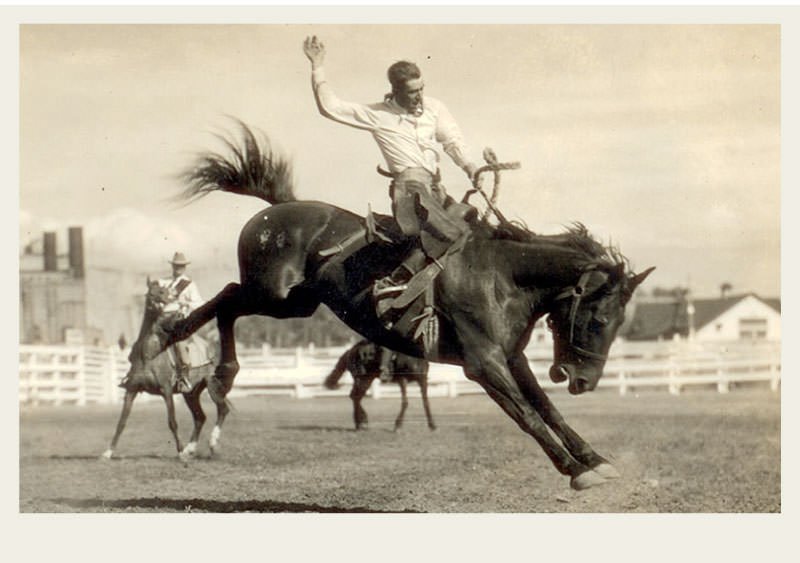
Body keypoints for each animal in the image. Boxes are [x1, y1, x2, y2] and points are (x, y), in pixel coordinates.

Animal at [101, 280, 228, 460]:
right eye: (154, 293)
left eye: (166, 293)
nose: (178, 318)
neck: (149, 355)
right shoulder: (131, 390)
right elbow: (122, 422)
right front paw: (108, 452)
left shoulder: (166, 390)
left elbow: (172, 422)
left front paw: (180, 453)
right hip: (191, 393)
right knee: (200, 418)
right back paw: (190, 449)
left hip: (211, 384)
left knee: (222, 409)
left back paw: (212, 443)